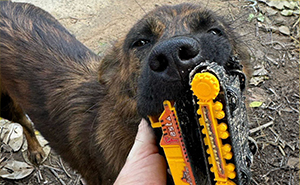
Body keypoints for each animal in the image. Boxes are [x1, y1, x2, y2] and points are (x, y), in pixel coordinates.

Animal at [0, 1, 250, 185]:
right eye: (140, 42)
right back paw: (35, 149)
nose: (174, 55)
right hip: (4, 105)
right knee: (24, 121)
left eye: (215, 31)